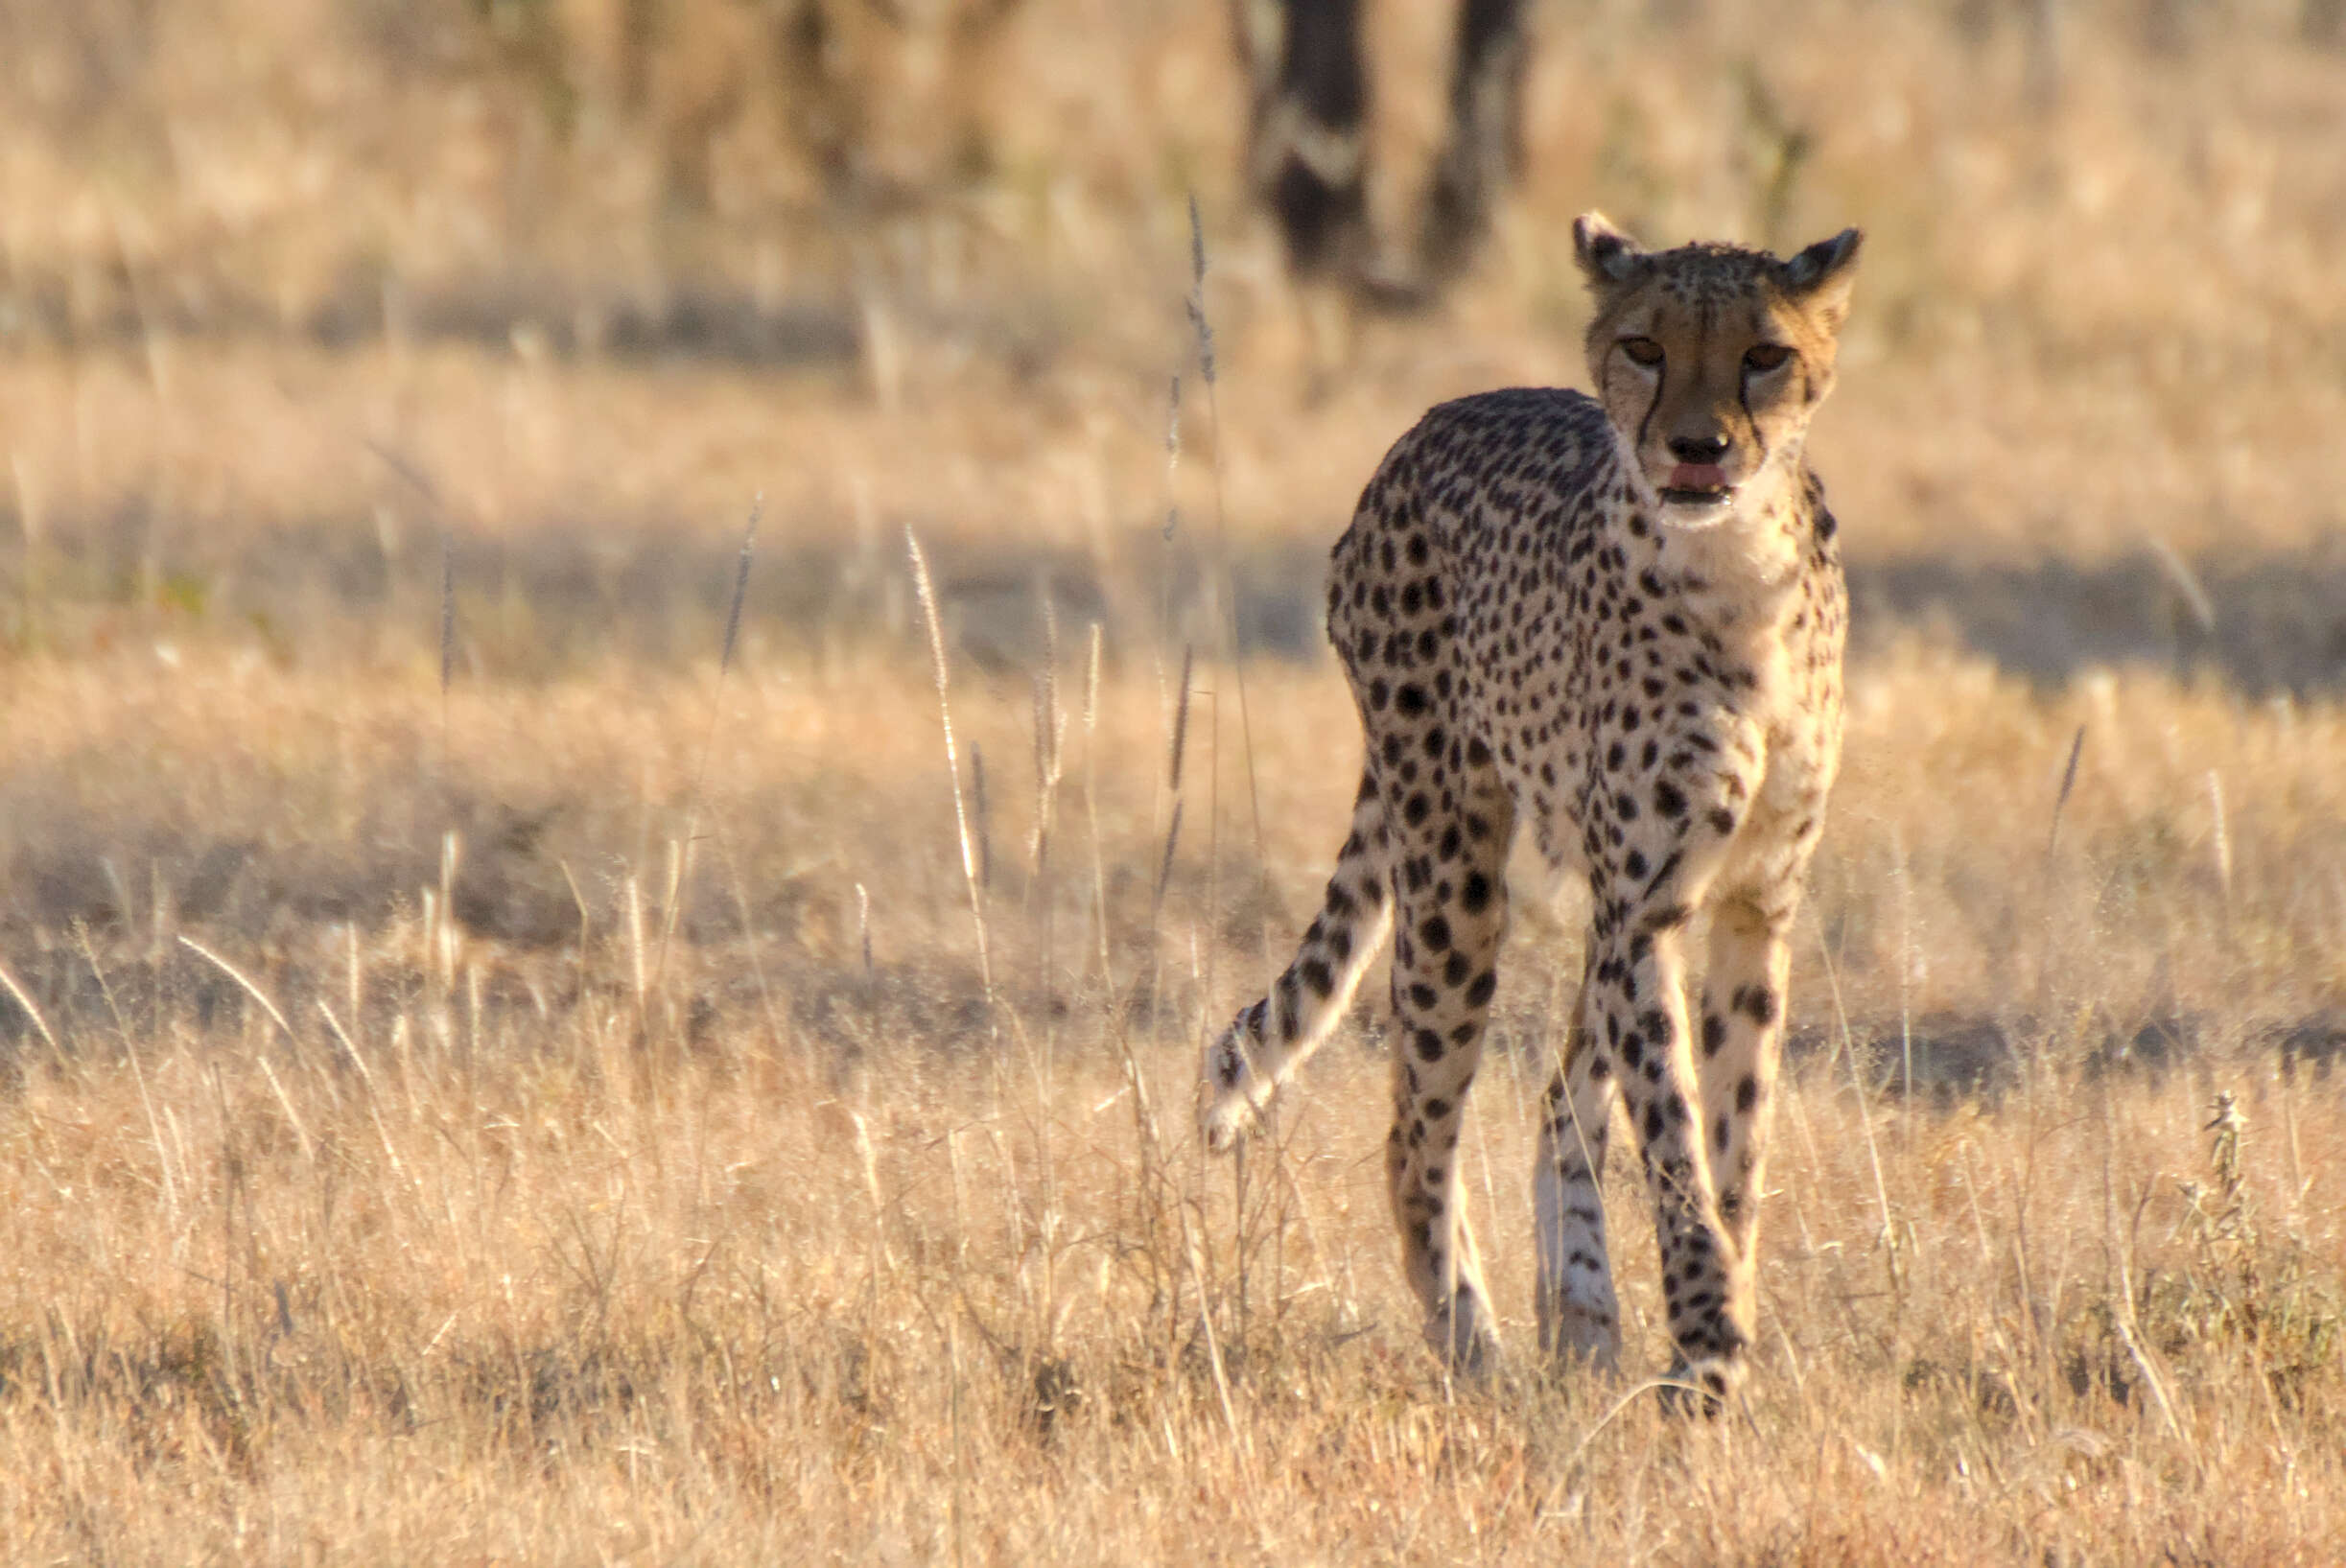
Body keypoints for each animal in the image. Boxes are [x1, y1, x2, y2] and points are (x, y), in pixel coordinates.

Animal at [1201, 211, 1858, 1408]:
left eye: (1763, 354)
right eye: (1644, 346)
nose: (1696, 450)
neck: (1737, 569)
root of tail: (1432, 422)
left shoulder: (1752, 905)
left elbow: (1734, 1141)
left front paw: (1719, 1318)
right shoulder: (1649, 908)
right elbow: (1673, 1139)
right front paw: (1704, 1346)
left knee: (1558, 1099)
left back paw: (1582, 1318)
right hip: (1454, 863)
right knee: (1415, 1133)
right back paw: (1474, 1344)